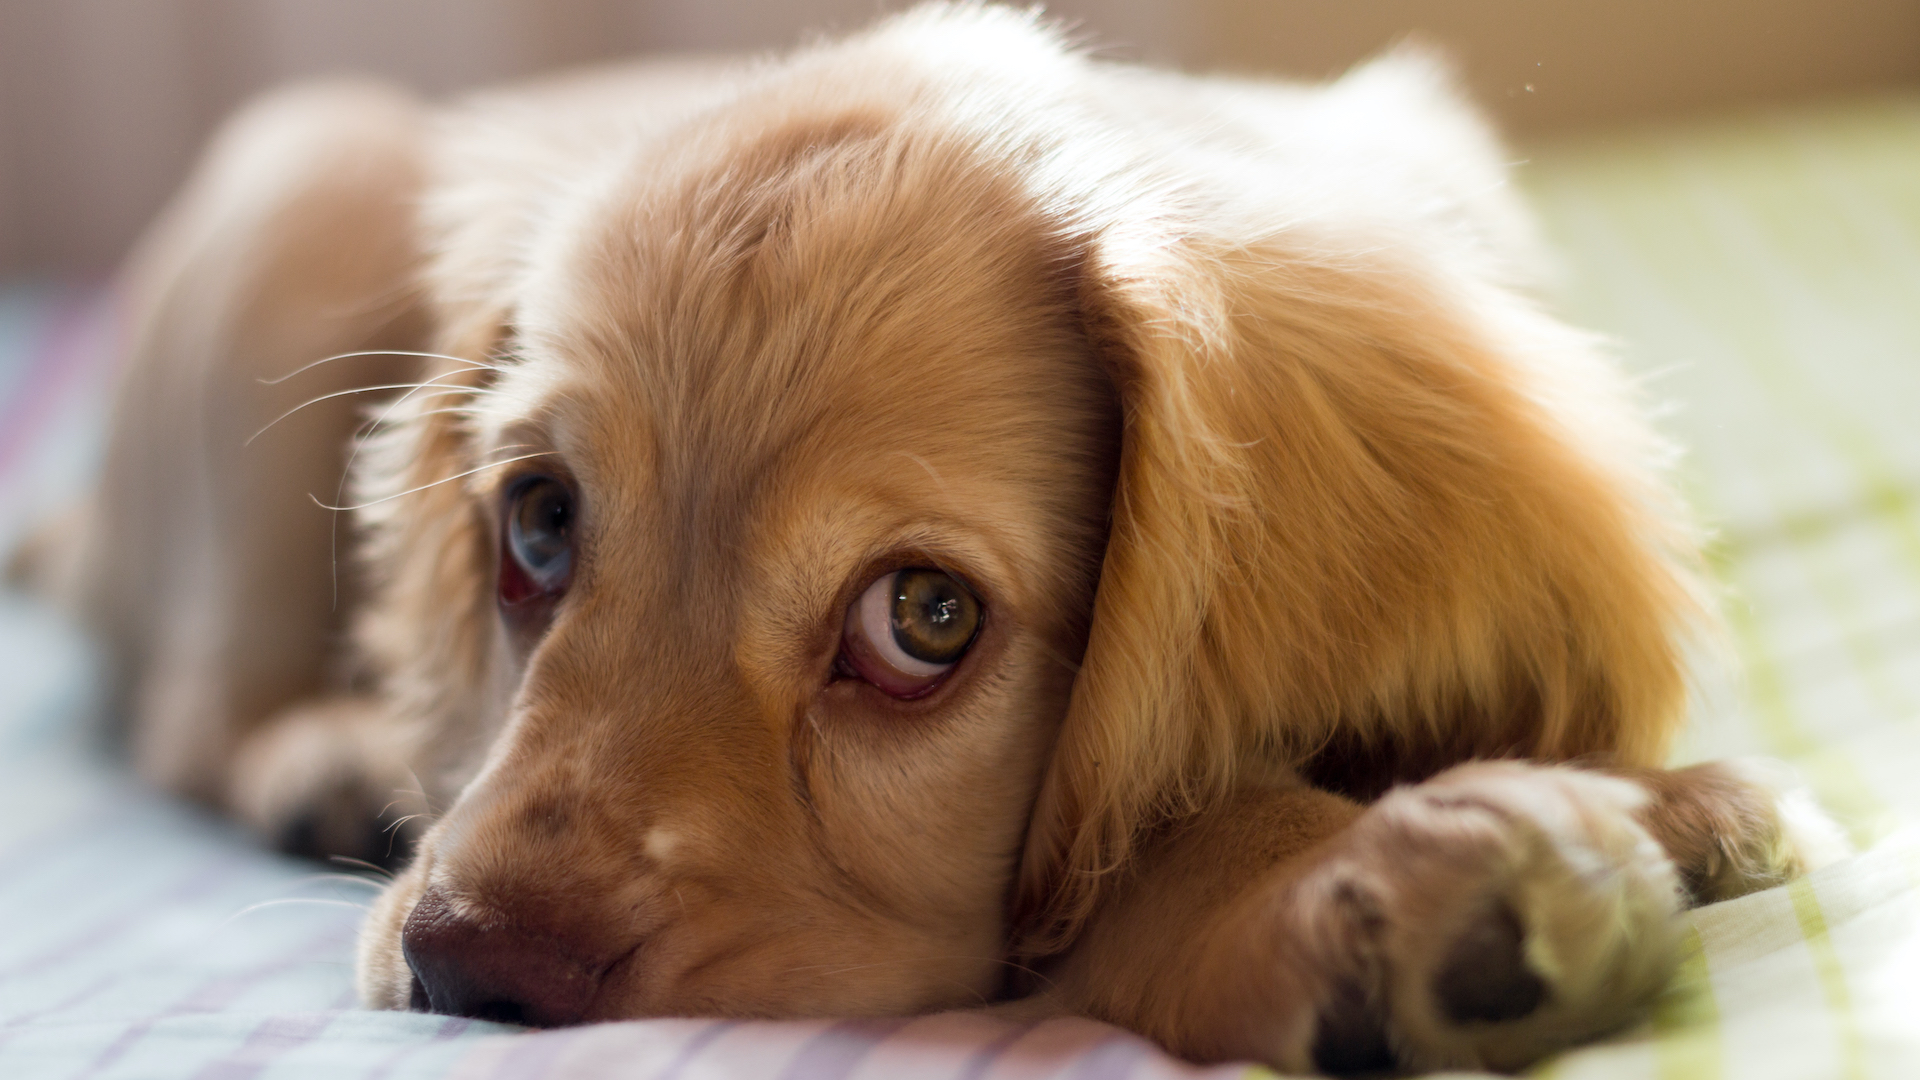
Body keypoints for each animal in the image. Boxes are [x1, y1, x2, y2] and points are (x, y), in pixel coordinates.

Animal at [15, 4, 1843, 1068]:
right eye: (535, 522)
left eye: (924, 622)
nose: (466, 970)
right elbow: (1142, 846)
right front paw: (1350, 877)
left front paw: (1659, 799)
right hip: (297, 194)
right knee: (191, 709)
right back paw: (326, 757)